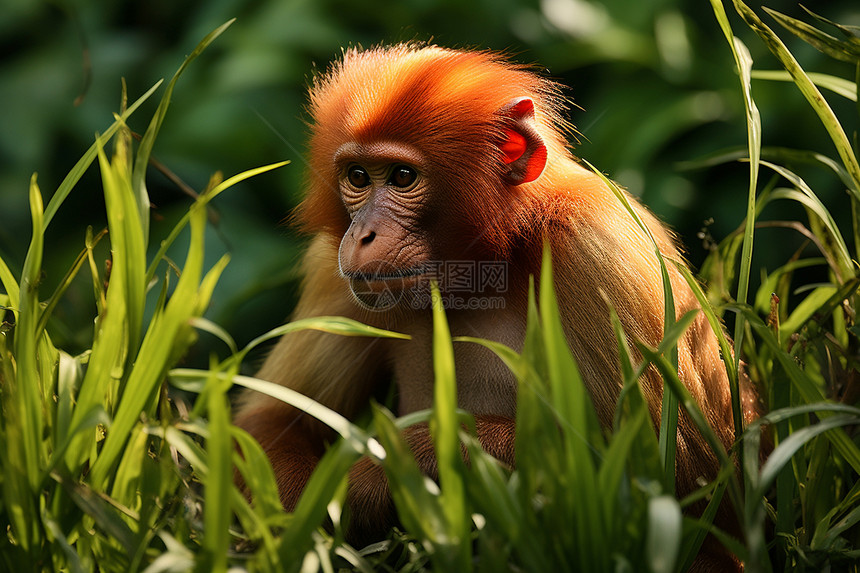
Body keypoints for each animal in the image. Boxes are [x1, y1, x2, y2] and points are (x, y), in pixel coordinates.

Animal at [233, 43, 760, 568]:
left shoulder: (598, 246)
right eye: (358, 176)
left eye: (402, 176)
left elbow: (670, 492)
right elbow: (273, 421)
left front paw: (391, 468)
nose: (362, 235)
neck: (496, 255)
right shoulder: (334, 270)